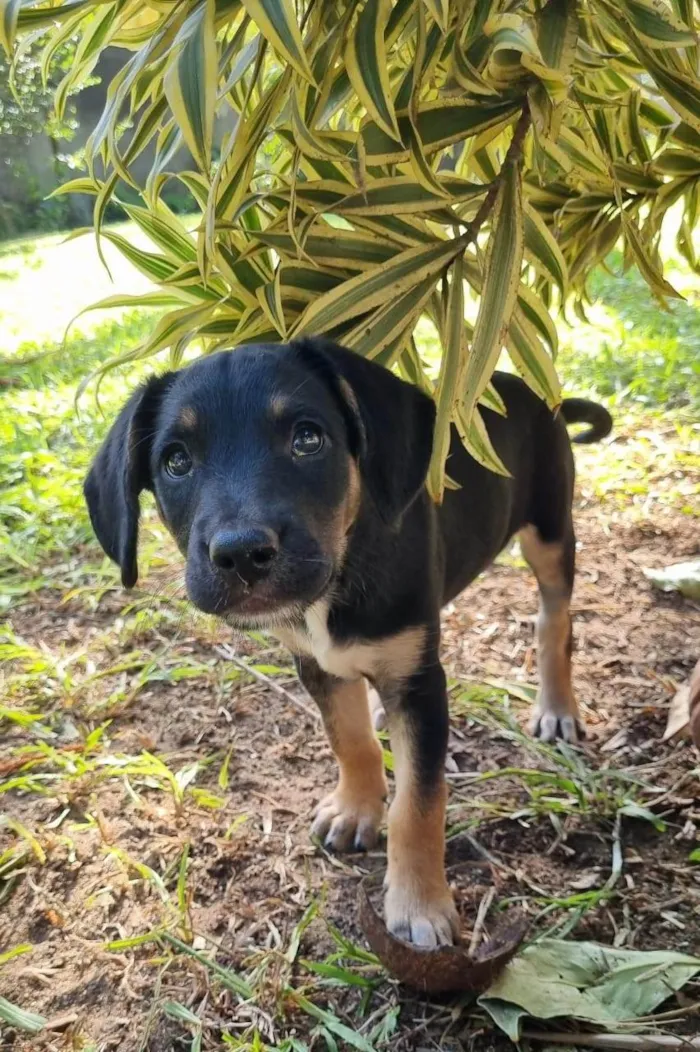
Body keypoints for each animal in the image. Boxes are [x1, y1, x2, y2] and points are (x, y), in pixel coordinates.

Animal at [84, 340, 610, 951]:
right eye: (175, 461)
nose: (240, 555)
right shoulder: (317, 665)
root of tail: (524, 386)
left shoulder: (420, 683)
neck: (342, 571)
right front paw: (357, 809)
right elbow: (350, 740)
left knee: (555, 623)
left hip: (549, 532)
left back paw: (556, 707)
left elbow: (418, 802)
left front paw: (419, 905)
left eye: (308, 439)